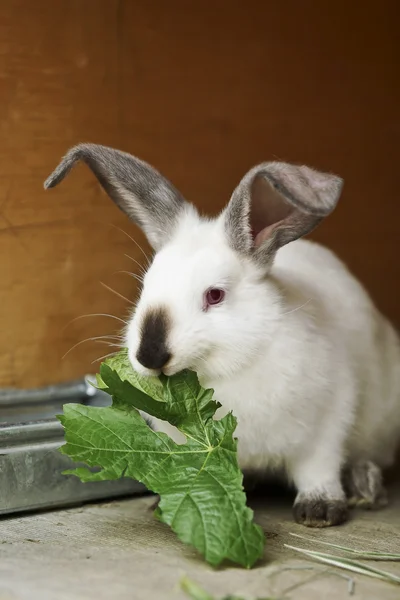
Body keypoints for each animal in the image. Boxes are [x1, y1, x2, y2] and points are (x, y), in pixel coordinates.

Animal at [44, 143, 400, 528]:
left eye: (215, 295)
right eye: (146, 286)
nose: (150, 355)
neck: (227, 371)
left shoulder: (326, 428)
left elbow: (318, 471)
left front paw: (319, 511)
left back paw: (366, 486)